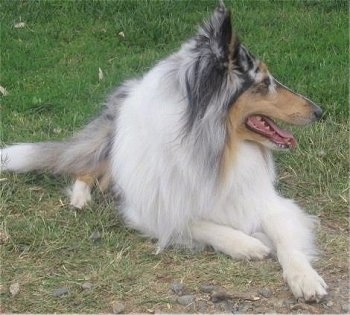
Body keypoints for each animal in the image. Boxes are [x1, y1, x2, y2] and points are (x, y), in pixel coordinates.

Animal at [0, 3, 328, 304]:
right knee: (87, 166)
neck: (217, 151)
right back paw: (81, 198)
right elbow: (196, 222)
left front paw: (305, 278)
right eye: (264, 83)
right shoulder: (151, 208)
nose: (320, 112)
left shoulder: (265, 201)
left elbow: (286, 239)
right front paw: (247, 244)